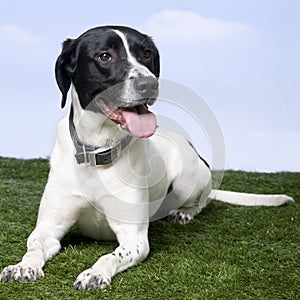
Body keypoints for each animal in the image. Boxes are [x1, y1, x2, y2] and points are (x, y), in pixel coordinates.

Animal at [0, 26, 292, 290]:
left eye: (147, 54)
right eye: (104, 56)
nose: (149, 83)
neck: (98, 151)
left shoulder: (134, 238)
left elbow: (110, 255)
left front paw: (94, 273)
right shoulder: (48, 227)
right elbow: (34, 247)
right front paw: (22, 266)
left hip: (189, 178)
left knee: (202, 201)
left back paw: (183, 212)